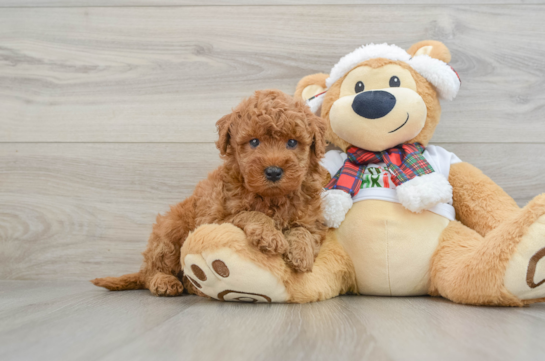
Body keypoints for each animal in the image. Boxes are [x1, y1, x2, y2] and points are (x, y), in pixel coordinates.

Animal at [92, 89, 328, 296]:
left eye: (292, 142)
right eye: (254, 142)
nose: (273, 171)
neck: (272, 198)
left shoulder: (312, 220)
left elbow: (304, 231)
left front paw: (301, 253)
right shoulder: (215, 218)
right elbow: (249, 213)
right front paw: (270, 235)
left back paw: (191, 286)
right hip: (169, 230)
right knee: (154, 268)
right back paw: (165, 281)